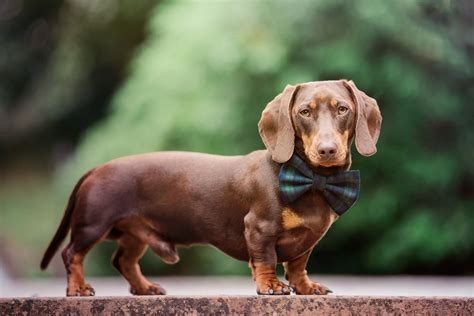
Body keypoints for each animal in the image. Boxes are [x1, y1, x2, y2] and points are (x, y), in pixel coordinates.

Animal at [39, 79, 382, 296]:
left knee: (123, 260)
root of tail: (95, 169)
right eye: (305, 112)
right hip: (92, 225)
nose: (327, 150)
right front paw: (271, 286)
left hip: (136, 234)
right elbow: (266, 260)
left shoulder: (308, 240)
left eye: (342, 109)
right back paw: (78, 289)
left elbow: (298, 266)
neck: (310, 178)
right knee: (72, 254)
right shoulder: (258, 228)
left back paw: (144, 287)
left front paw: (306, 288)